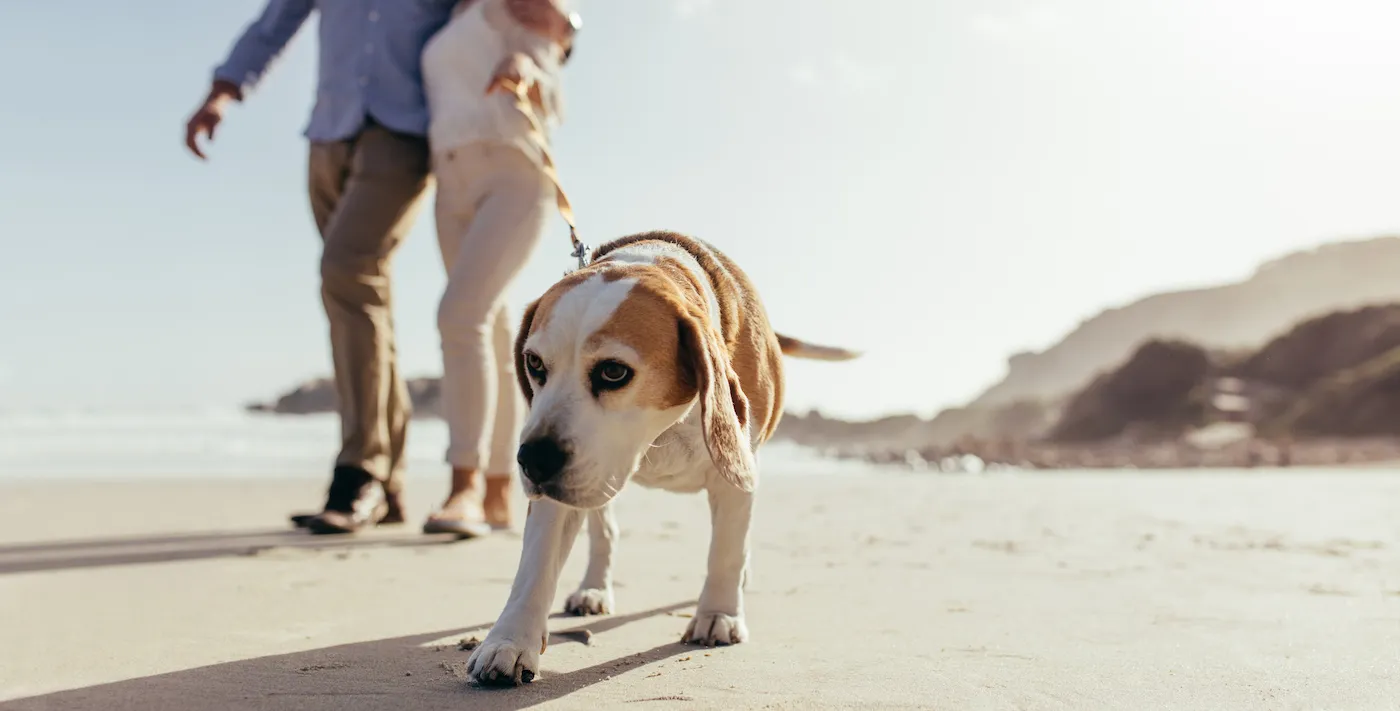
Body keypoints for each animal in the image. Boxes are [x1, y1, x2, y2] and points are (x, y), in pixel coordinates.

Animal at [467, 230, 851, 685]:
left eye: (613, 372)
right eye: (535, 364)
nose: (532, 461)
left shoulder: (735, 471)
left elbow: (727, 550)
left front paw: (718, 614)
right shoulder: (555, 497)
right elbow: (533, 568)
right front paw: (509, 642)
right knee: (604, 532)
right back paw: (593, 589)